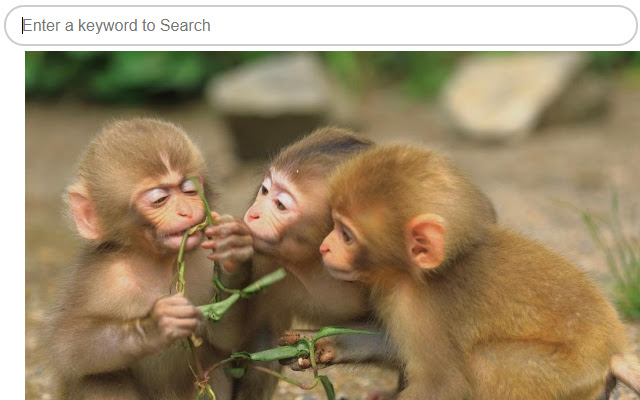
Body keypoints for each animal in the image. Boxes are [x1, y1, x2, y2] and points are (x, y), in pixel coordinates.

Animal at [43, 118, 251, 400]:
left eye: (189, 190)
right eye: (160, 199)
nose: (186, 211)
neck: (157, 261)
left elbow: (230, 338)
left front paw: (232, 249)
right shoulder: (100, 276)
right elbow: (67, 346)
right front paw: (153, 326)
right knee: (100, 378)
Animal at [320, 144, 640, 400]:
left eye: (345, 235)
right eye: (334, 224)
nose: (324, 247)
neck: (420, 274)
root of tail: (613, 350)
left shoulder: (422, 310)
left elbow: (443, 384)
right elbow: (394, 344)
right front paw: (328, 343)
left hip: (567, 373)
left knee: (484, 363)